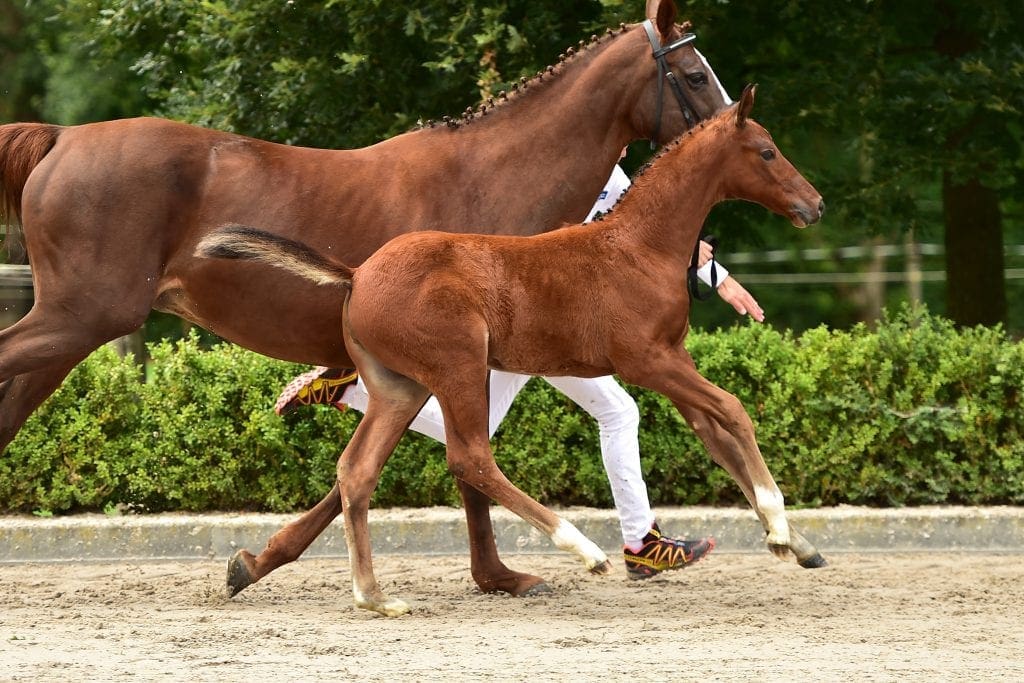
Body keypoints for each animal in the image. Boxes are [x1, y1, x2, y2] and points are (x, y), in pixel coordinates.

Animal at [0, 0, 745, 598]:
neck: (487, 179)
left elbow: (406, 463)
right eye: (696, 75)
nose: (740, 131)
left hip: (71, 330)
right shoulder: (460, 360)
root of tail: (63, 138)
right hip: (81, 317)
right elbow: (454, 460)